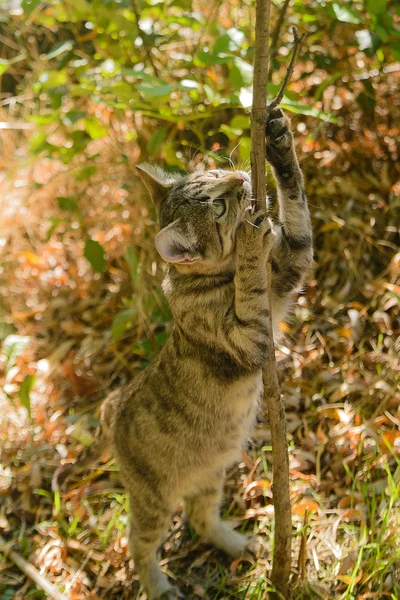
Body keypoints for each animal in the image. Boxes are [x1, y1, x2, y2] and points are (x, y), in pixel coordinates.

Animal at [52, 109, 312, 600]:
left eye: (212, 175)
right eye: (218, 206)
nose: (238, 177)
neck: (214, 277)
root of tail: (111, 406)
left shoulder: (292, 265)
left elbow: (297, 208)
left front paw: (279, 140)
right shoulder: (250, 337)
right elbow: (251, 282)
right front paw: (251, 239)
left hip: (210, 476)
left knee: (199, 516)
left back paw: (237, 544)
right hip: (152, 501)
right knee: (139, 543)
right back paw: (158, 585)